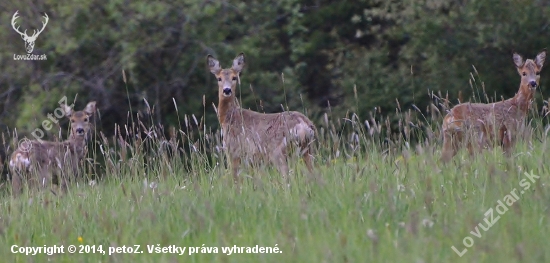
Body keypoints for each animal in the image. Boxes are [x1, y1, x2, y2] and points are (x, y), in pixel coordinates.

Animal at [208, 52, 320, 183]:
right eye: (219, 78)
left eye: (234, 77)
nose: (227, 90)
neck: (229, 117)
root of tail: (303, 123)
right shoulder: (253, 159)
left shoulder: (233, 151)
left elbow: (236, 180)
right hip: (307, 149)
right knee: (313, 173)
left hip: (278, 151)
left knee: (287, 177)